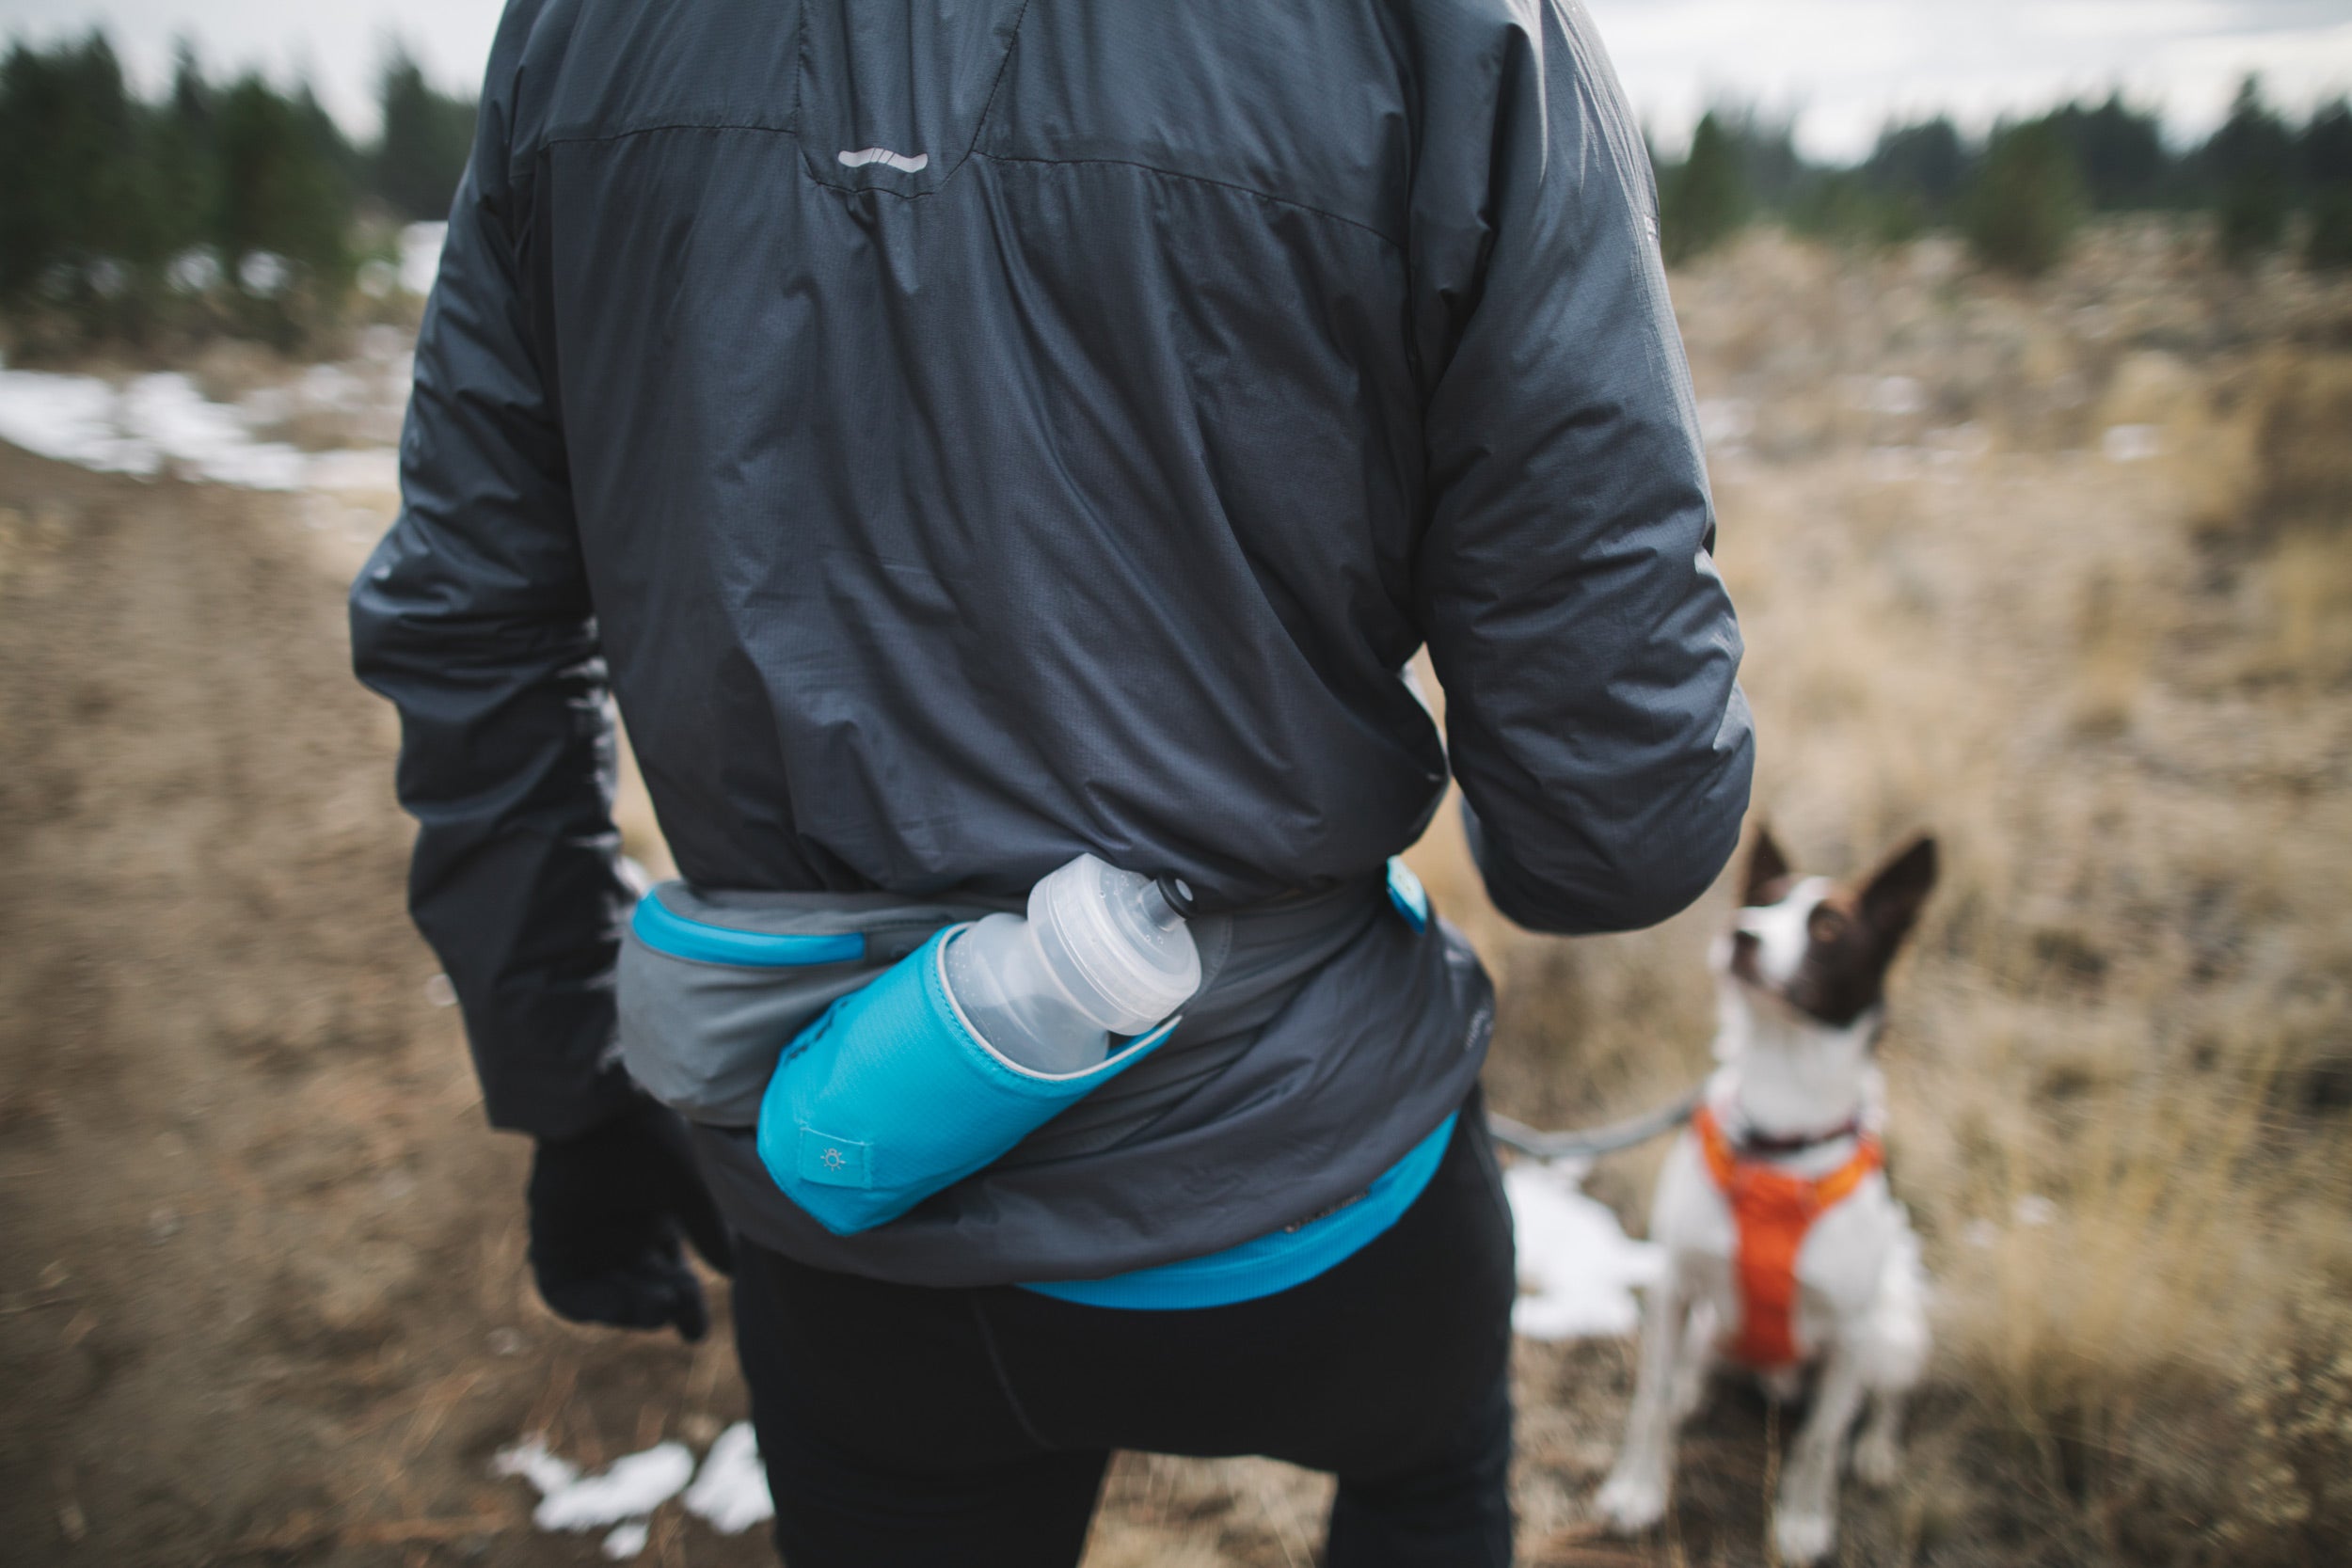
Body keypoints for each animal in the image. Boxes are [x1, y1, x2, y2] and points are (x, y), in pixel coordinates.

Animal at [1599, 827, 1947, 1560]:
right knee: (1697, 1366)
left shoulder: (1851, 1334)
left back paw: (1875, 1451)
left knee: (1880, 1402)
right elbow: (1648, 1404)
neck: (1778, 1128)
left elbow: (1819, 1443)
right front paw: (1636, 1493)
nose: (1742, 933)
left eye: (1828, 925)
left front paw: (1804, 1523)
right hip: (1710, 1319)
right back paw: (1694, 1387)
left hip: (1895, 1332)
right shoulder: (1675, 1285)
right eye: (1759, 901)